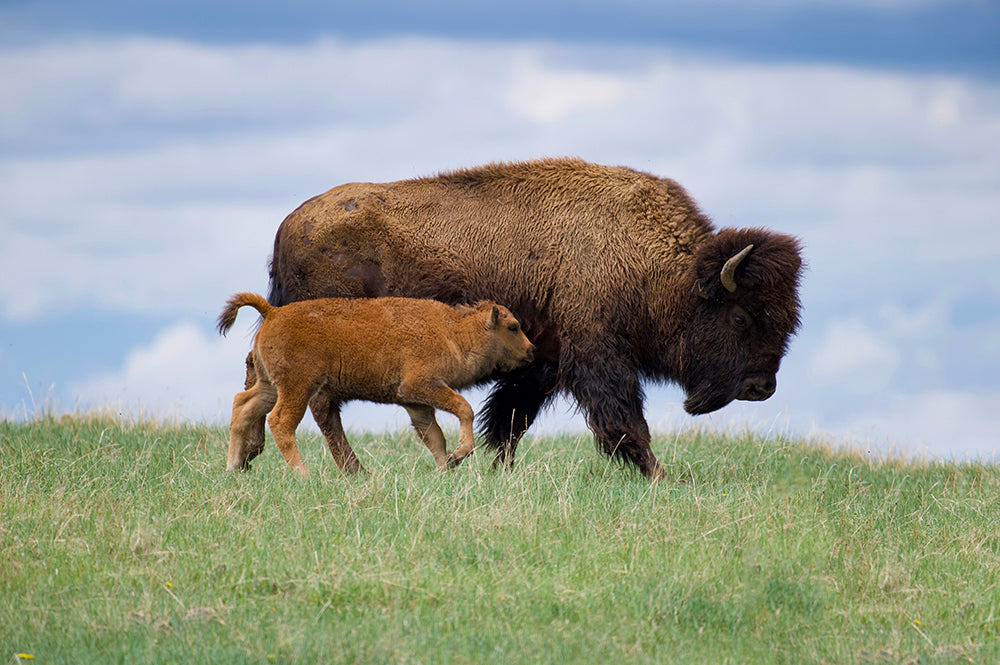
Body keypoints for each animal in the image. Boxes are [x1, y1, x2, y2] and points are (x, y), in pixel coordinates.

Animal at [216, 294, 536, 474]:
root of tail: (273, 311)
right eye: (513, 327)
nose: (532, 351)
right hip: (298, 387)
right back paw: (303, 474)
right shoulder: (423, 386)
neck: (453, 331)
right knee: (280, 422)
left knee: (242, 406)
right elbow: (464, 409)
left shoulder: (415, 403)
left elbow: (434, 437)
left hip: (271, 386)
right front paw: (459, 456)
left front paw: (446, 469)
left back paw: (232, 468)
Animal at [254, 158, 800, 480]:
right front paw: (659, 477)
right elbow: (624, 420)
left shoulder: (543, 361)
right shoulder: (597, 357)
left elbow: (510, 419)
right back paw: (356, 472)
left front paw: (499, 472)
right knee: (323, 409)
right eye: (740, 317)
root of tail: (288, 225)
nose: (760, 387)